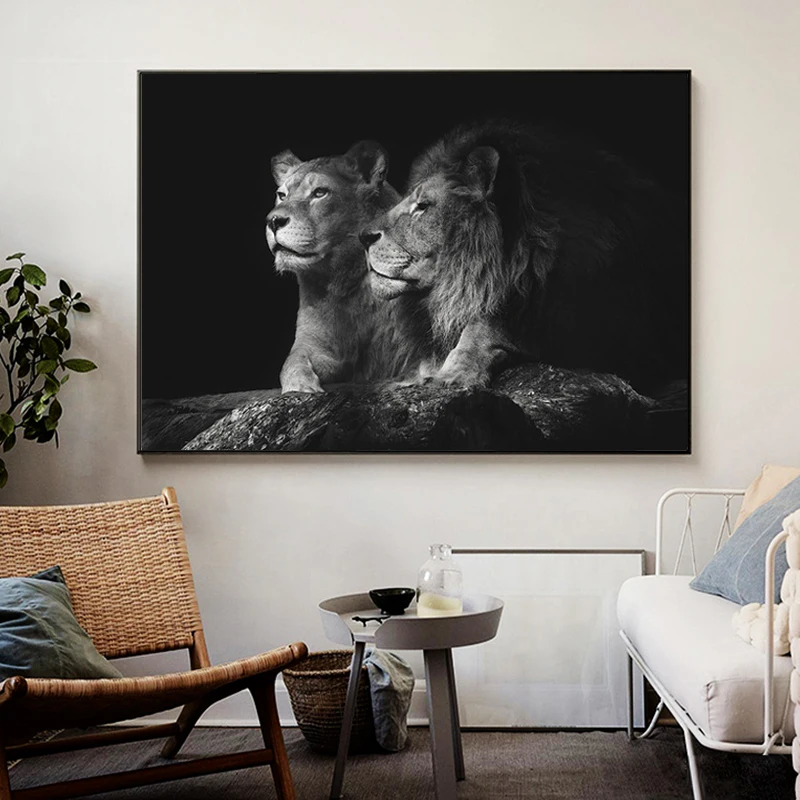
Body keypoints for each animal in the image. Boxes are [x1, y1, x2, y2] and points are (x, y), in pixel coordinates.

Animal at [267, 141, 429, 393]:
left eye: (320, 192)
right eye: (281, 195)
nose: (273, 221)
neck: (344, 280)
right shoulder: (315, 344)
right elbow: (292, 362)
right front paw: (301, 387)